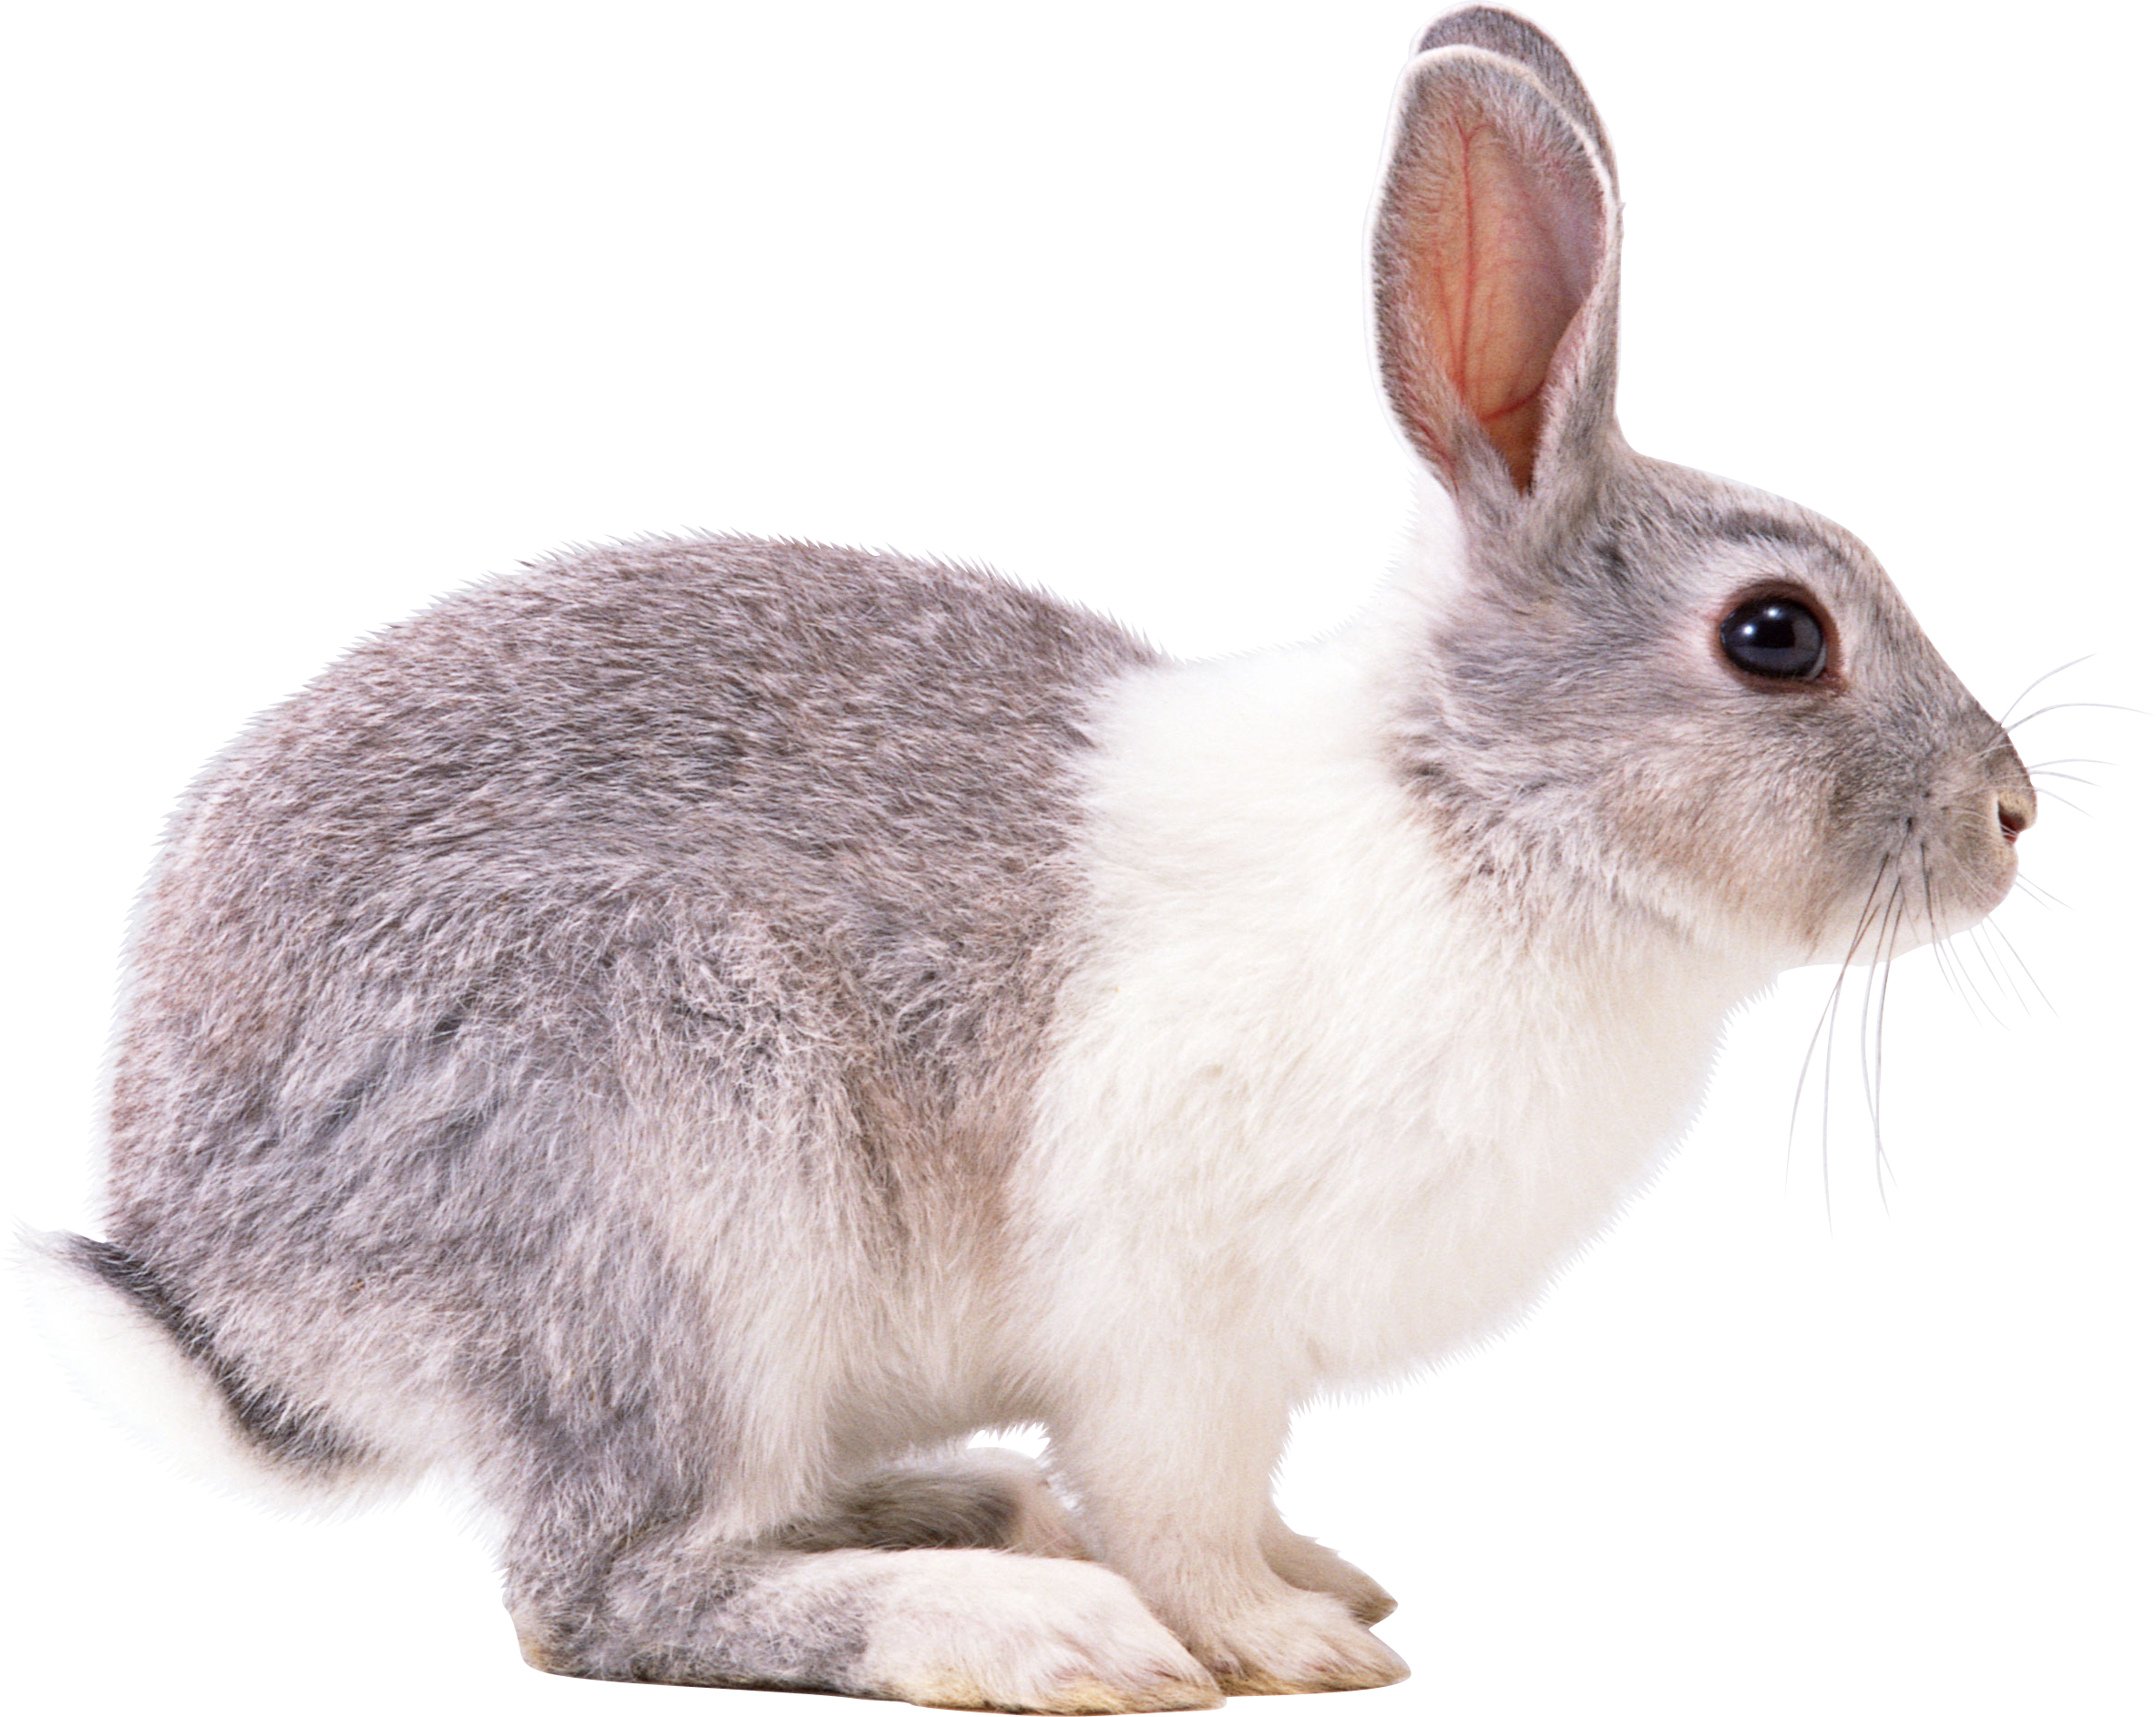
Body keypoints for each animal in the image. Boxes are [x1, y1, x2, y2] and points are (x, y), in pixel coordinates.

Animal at [58, 6, 2034, 1710]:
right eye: (1775, 636)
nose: (2014, 815)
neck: (1479, 808)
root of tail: (224, 1282)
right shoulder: (1173, 1333)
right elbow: (1180, 1504)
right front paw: (1287, 1643)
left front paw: (1322, 1577)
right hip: (680, 1184)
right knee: (610, 1587)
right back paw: (1025, 1625)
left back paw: (991, 1518)